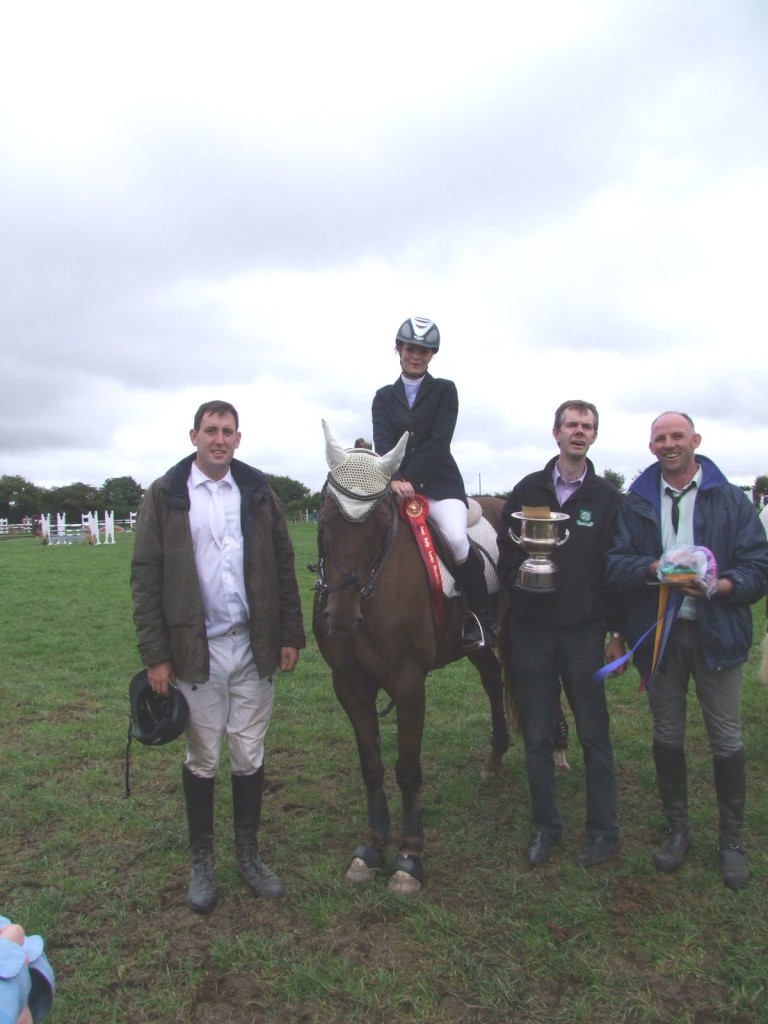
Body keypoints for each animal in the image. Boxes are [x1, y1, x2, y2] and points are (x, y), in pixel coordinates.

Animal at [313, 419, 512, 892]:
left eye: (381, 523)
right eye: (325, 520)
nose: (340, 619)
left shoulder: (407, 683)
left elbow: (407, 768)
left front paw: (408, 856)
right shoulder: (349, 684)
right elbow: (371, 765)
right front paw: (370, 849)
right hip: (475, 647)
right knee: (492, 679)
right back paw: (495, 757)